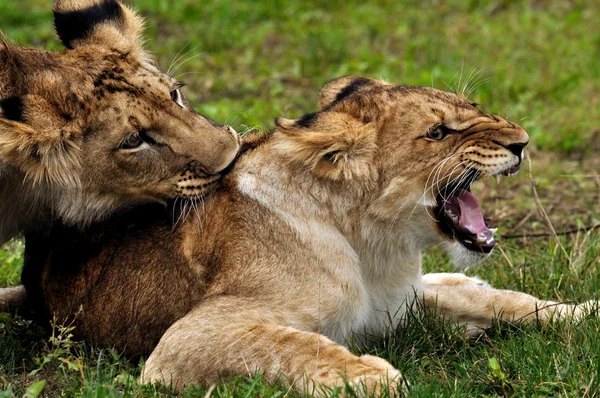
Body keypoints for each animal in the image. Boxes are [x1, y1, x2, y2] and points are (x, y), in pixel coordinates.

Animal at [5, 75, 600, 394]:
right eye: (437, 133)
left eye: (473, 108)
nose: (522, 142)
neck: (372, 244)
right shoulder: (182, 342)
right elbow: (289, 345)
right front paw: (377, 377)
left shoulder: (403, 300)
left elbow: (505, 300)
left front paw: (583, 313)